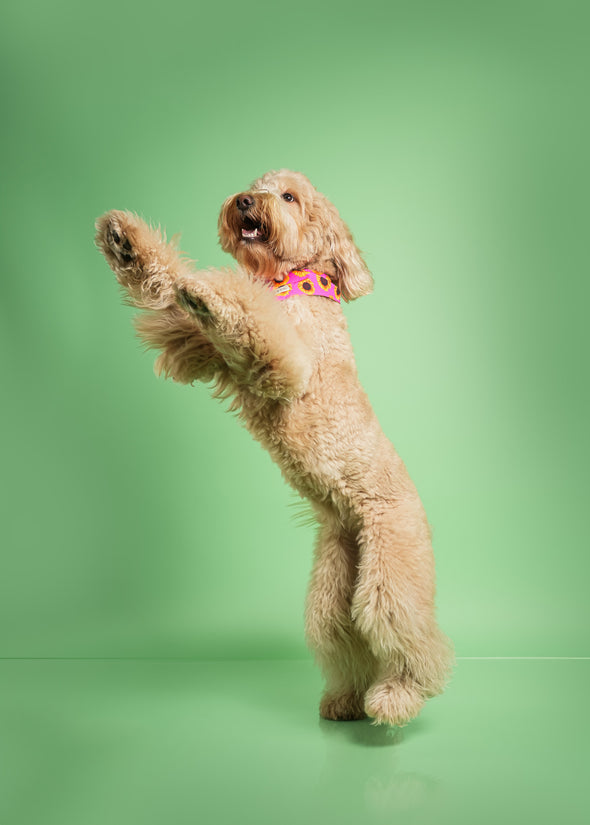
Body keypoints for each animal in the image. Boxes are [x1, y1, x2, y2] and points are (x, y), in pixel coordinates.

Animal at [96, 171, 454, 724]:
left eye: (289, 196)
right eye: (256, 184)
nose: (245, 200)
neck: (293, 280)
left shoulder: (285, 363)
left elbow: (245, 311)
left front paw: (209, 288)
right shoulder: (198, 346)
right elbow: (171, 293)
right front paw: (126, 242)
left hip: (388, 572)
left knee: (409, 637)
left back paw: (396, 696)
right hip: (332, 590)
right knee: (346, 642)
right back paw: (347, 699)